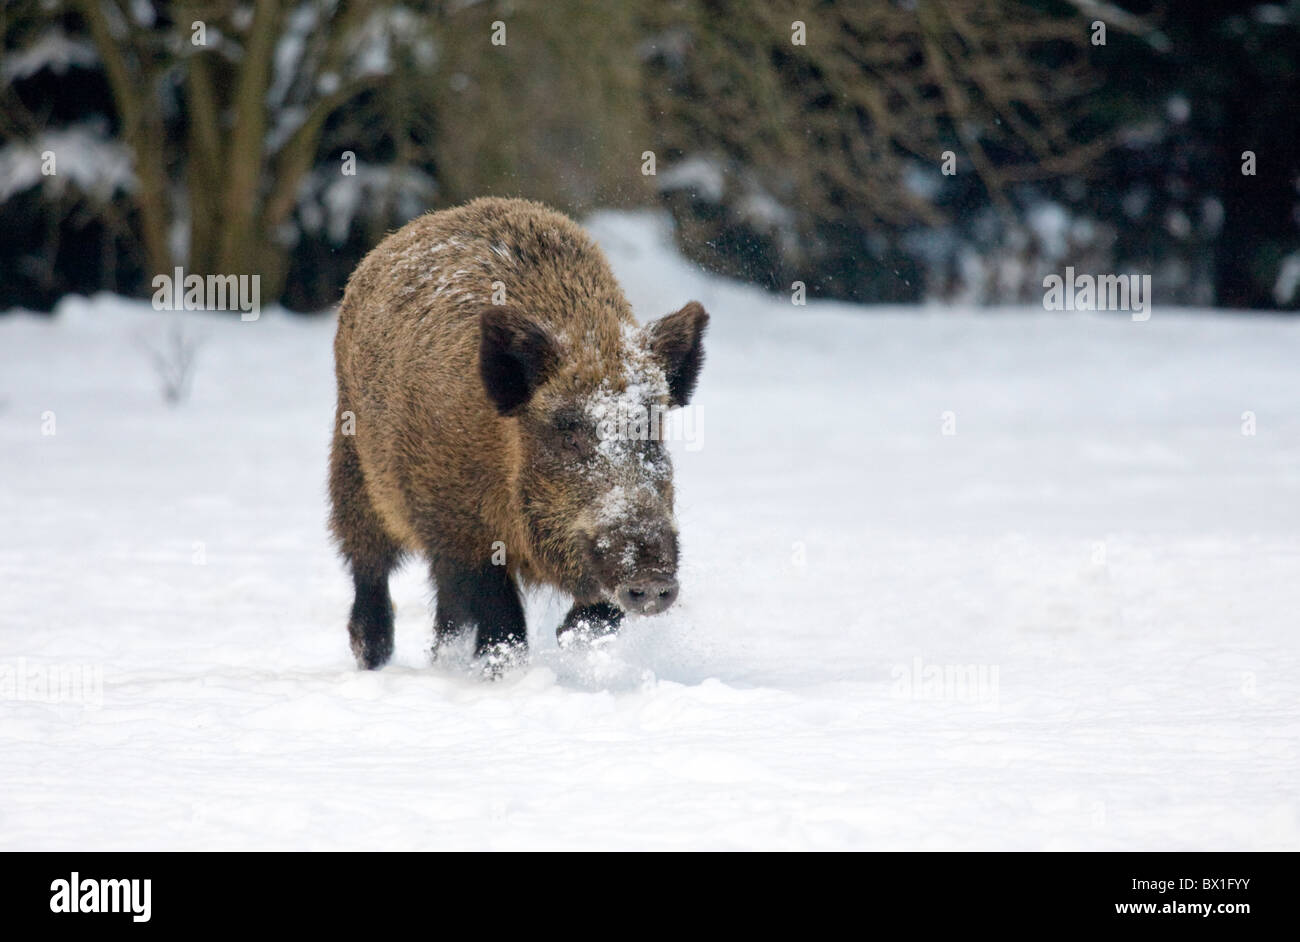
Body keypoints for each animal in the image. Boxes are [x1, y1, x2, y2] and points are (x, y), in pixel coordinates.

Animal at [329, 197, 708, 669]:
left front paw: (569, 643)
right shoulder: (456, 527)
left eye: (651, 431)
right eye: (568, 434)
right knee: (366, 562)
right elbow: (499, 617)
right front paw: (504, 673)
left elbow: (597, 614)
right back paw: (373, 656)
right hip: (352, 466)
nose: (653, 577)